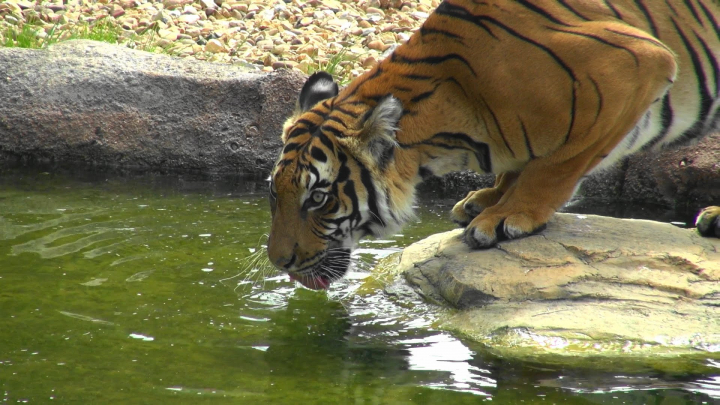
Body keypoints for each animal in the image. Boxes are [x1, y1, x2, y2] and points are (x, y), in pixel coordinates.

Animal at [266, 0, 720, 290]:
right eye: (274, 194)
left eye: (318, 198)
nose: (277, 262)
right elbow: (524, 163)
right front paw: (486, 199)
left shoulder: (634, 64)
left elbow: (556, 164)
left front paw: (506, 216)